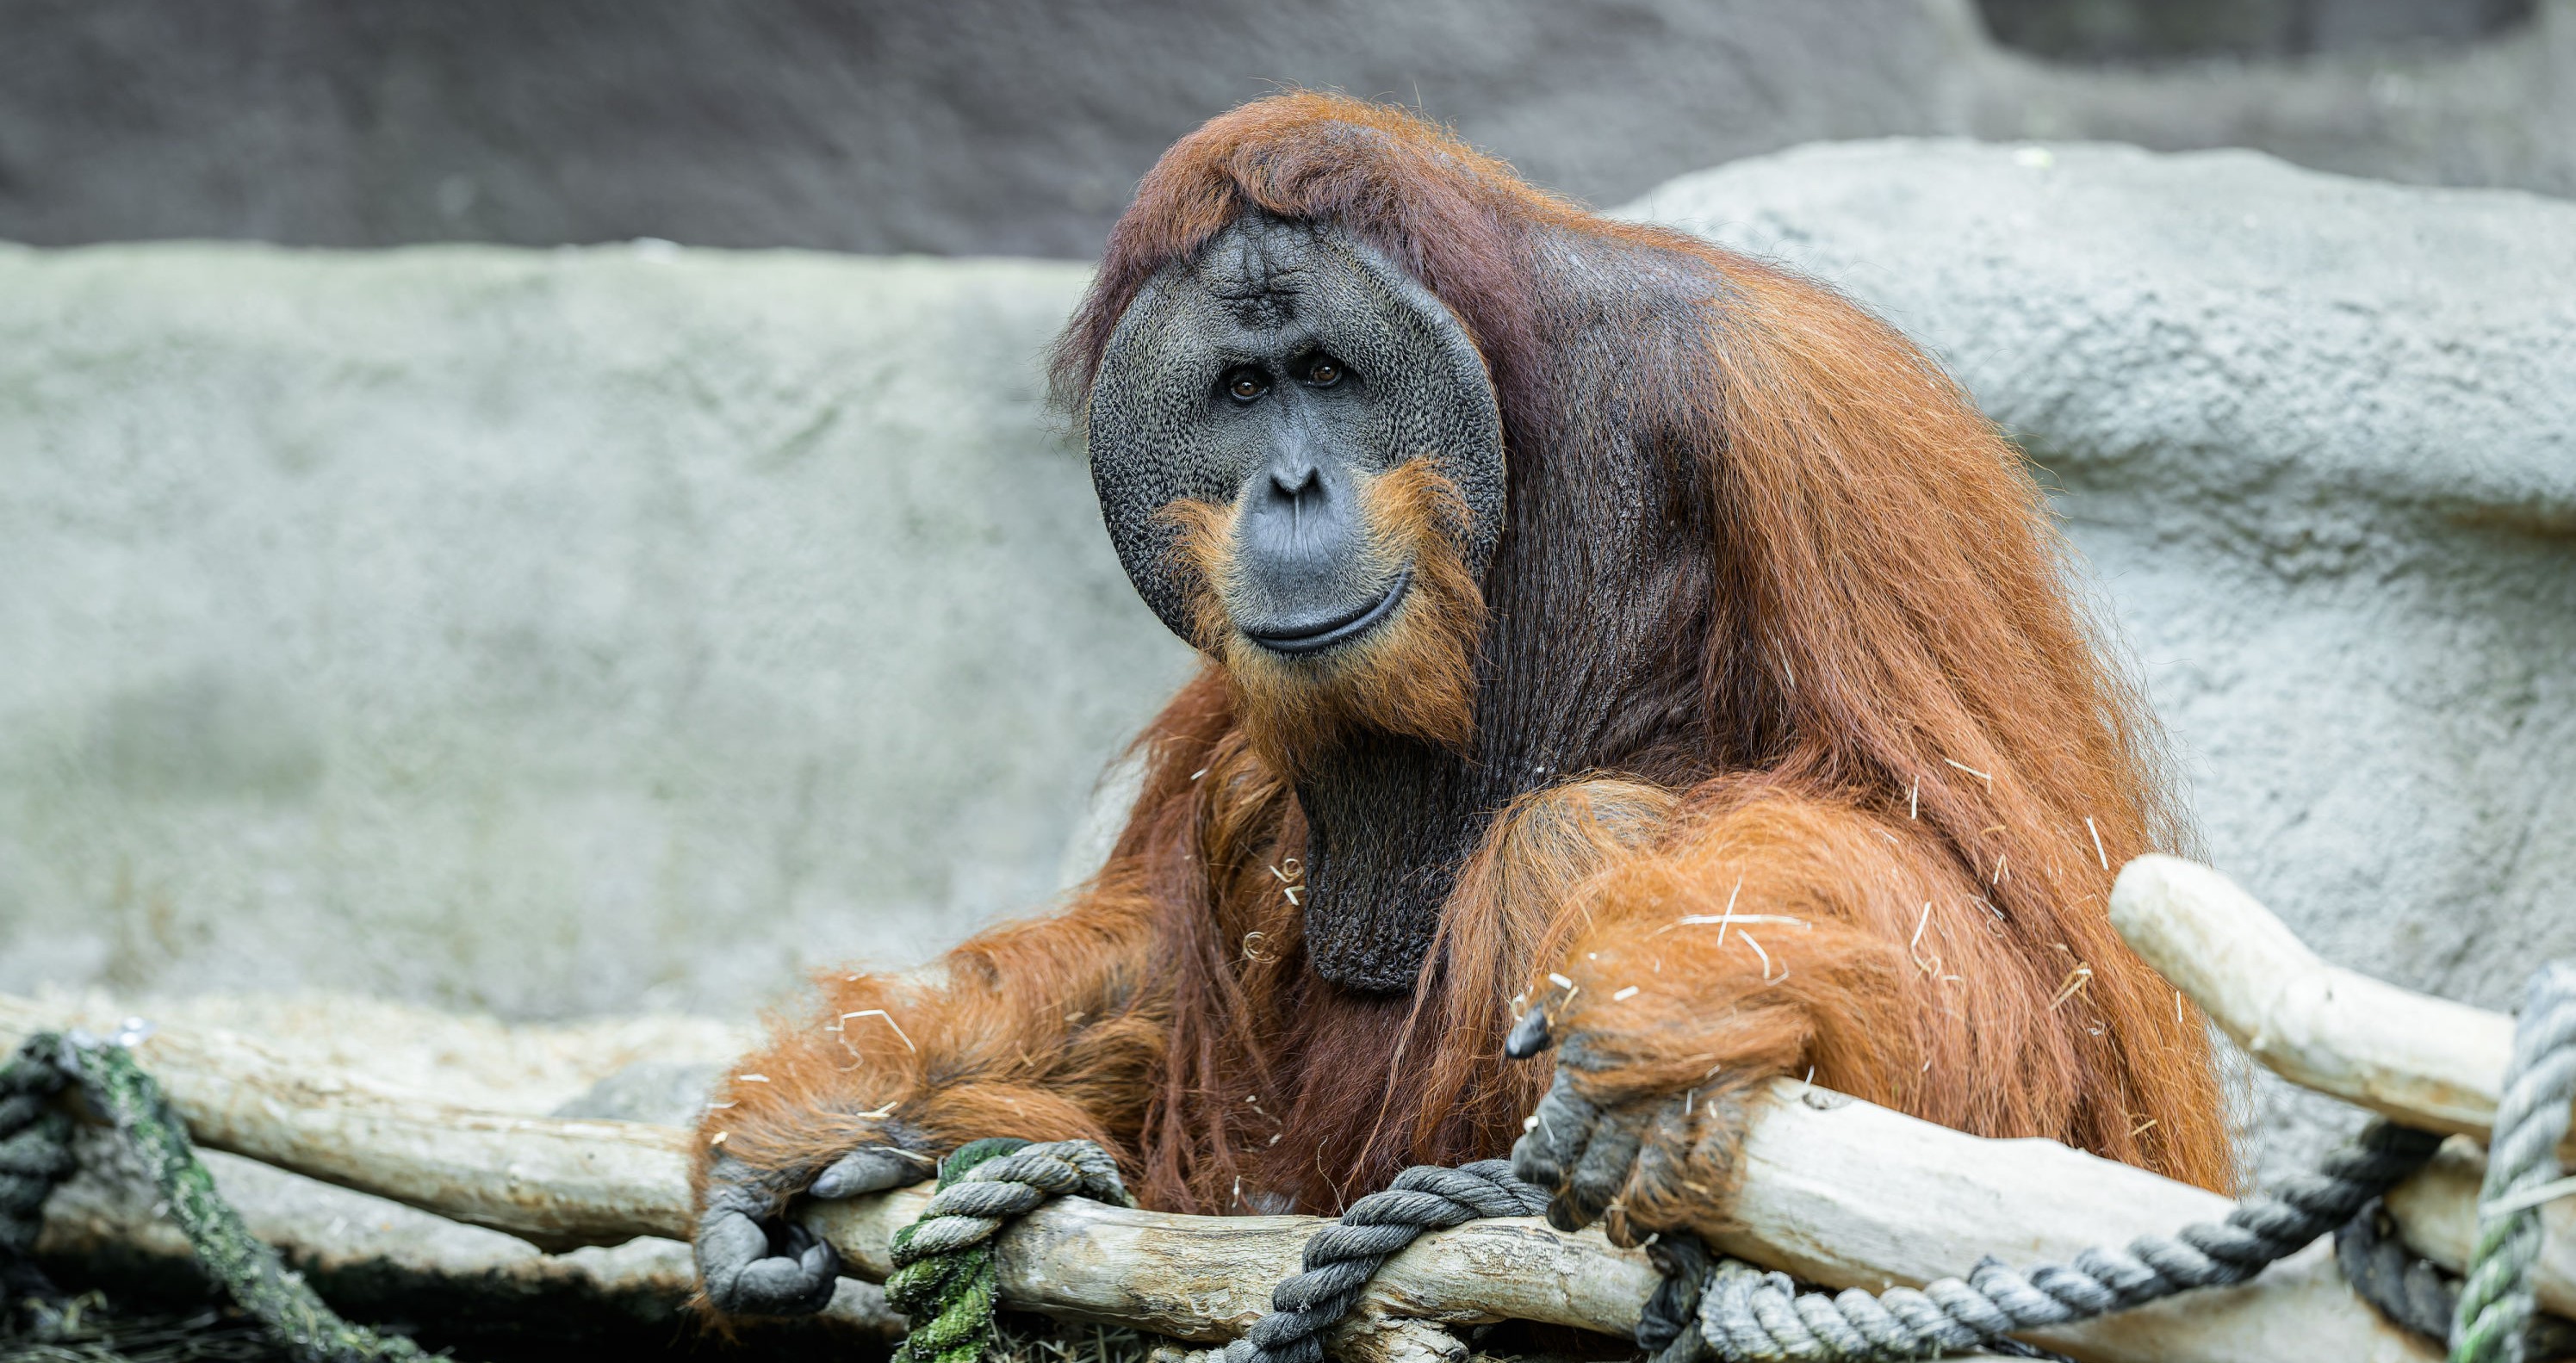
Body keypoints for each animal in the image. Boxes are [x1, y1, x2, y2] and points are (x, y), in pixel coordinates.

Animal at [690, 93, 2231, 1318]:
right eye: (1237, 389)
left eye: (1327, 373)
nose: (1289, 485)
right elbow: (1163, 928)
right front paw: (824, 1107)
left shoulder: (1812, 423)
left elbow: (2032, 956)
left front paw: (1679, 988)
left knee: (1571, 826)